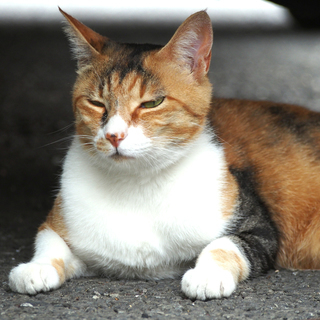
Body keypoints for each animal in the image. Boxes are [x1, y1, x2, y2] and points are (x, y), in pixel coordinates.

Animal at [8, 9, 320, 300]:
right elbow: (49, 242)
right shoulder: (61, 225)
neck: (137, 183)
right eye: (96, 103)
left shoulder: (259, 228)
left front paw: (207, 275)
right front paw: (36, 268)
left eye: (152, 103)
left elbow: (224, 245)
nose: (114, 135)